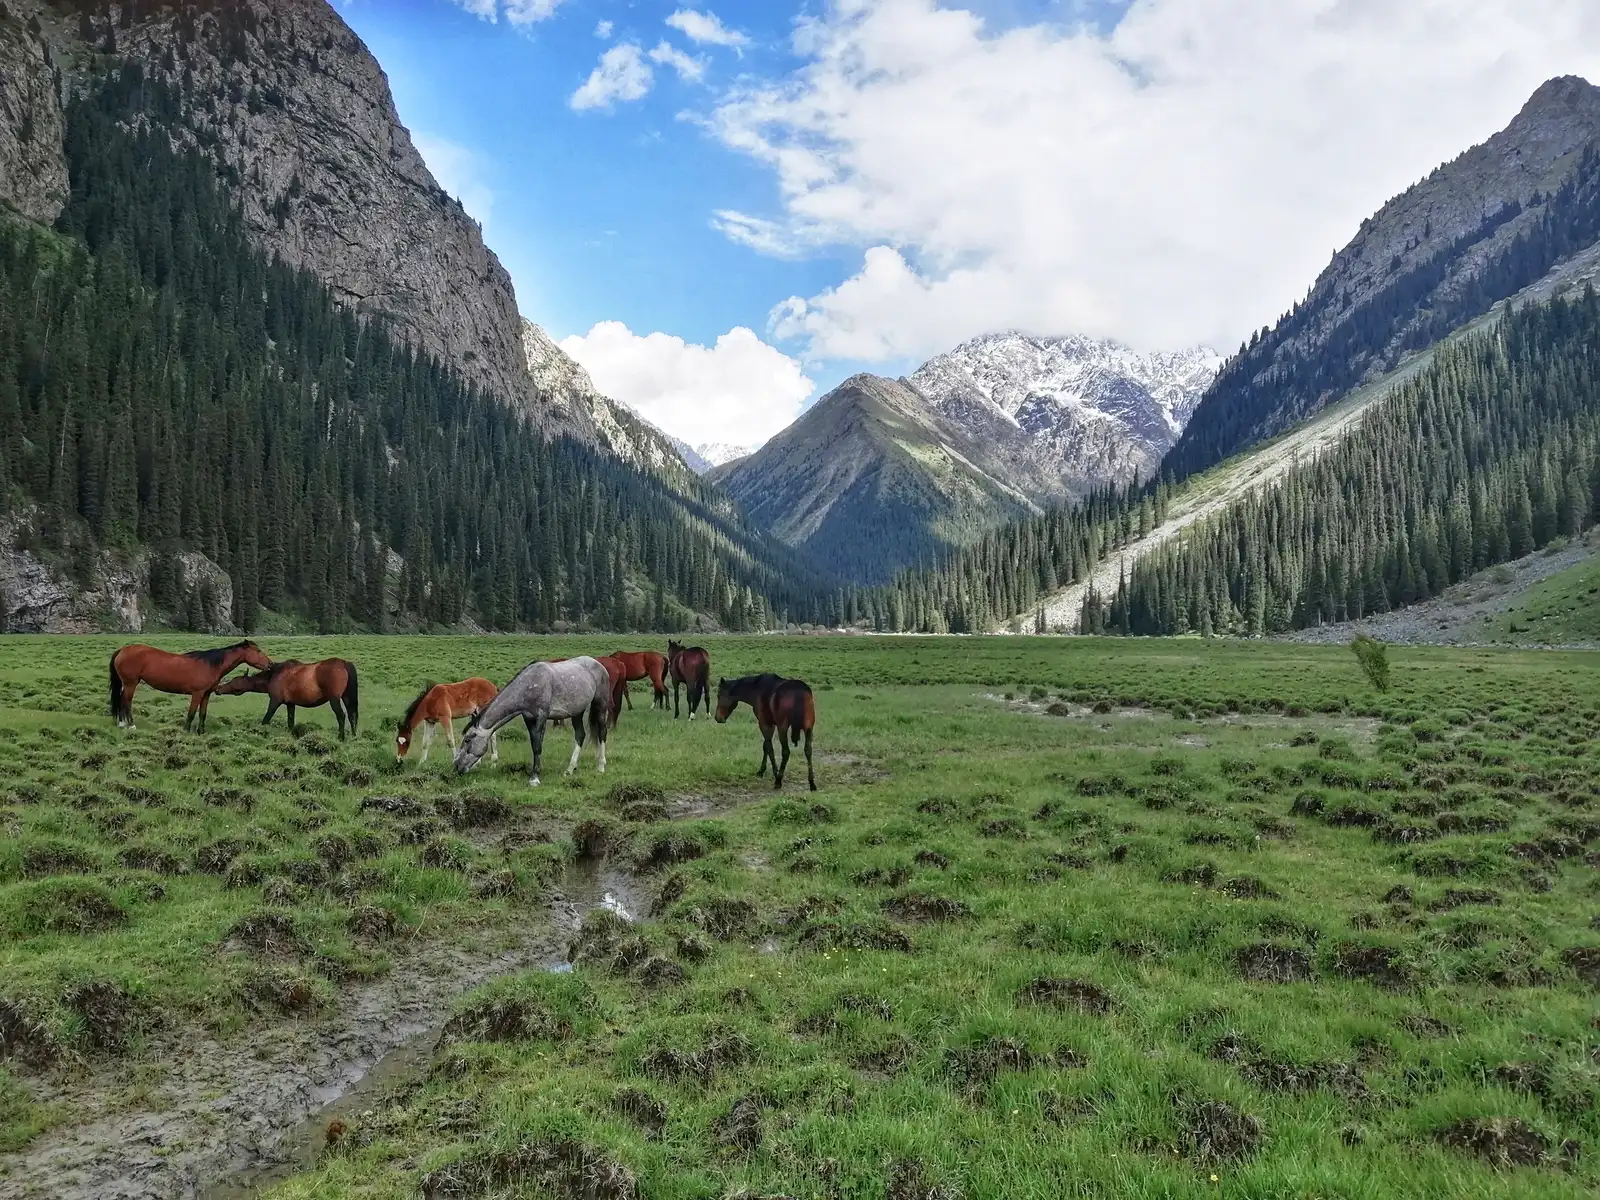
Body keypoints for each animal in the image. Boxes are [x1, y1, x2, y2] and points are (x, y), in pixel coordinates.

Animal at [108, 640, 268, 732]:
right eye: (258, 651)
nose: (270, 664)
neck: (210, 665)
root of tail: (122, 650)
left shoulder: (206, 694)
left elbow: (202, 713)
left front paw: (201, 732)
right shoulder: (197, 693)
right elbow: (191, 713)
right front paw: (186, 731)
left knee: (121, 700)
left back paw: (121, 724)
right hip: (131, 683)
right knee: (127, 702)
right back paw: (131, 725)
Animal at [212, 659, 360, 742]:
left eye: (233, 681)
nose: (218, 689)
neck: (273, 675)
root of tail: (344, 664)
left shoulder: (275, 701)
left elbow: (266, 719)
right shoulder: (290, 704)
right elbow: (290, 723)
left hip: (334, 699)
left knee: (341, 716)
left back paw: (341, 738)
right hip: (347, 697)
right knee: (352, 715)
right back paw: (353, 736)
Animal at [451, 659, 611, 790]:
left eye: (467, 740)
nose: (456, 767)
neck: (529, 684)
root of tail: (599, 664)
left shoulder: (541, 717)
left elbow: (537, 747)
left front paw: (534, 779)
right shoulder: (528, 718)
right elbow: (534, 745)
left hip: (600, 704)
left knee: (602, 733)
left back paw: (601, 767)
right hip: (577, 711)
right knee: (580, 735)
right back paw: (570, 769)